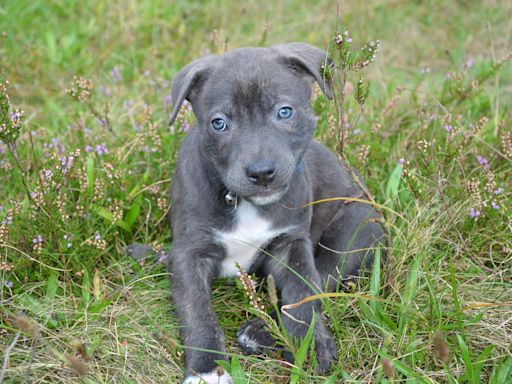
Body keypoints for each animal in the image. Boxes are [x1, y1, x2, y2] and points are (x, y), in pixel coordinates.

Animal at [168, 42, 384, 384]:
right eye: (219, 123)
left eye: (285, 112)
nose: (261, 172)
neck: (246, 203)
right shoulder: (189, 253)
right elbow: (197, 309)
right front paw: (207, 368)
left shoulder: (291, 244)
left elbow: (302, 292)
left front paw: (309, 344)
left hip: (357, 227)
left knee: (324, 279)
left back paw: (260, 331)